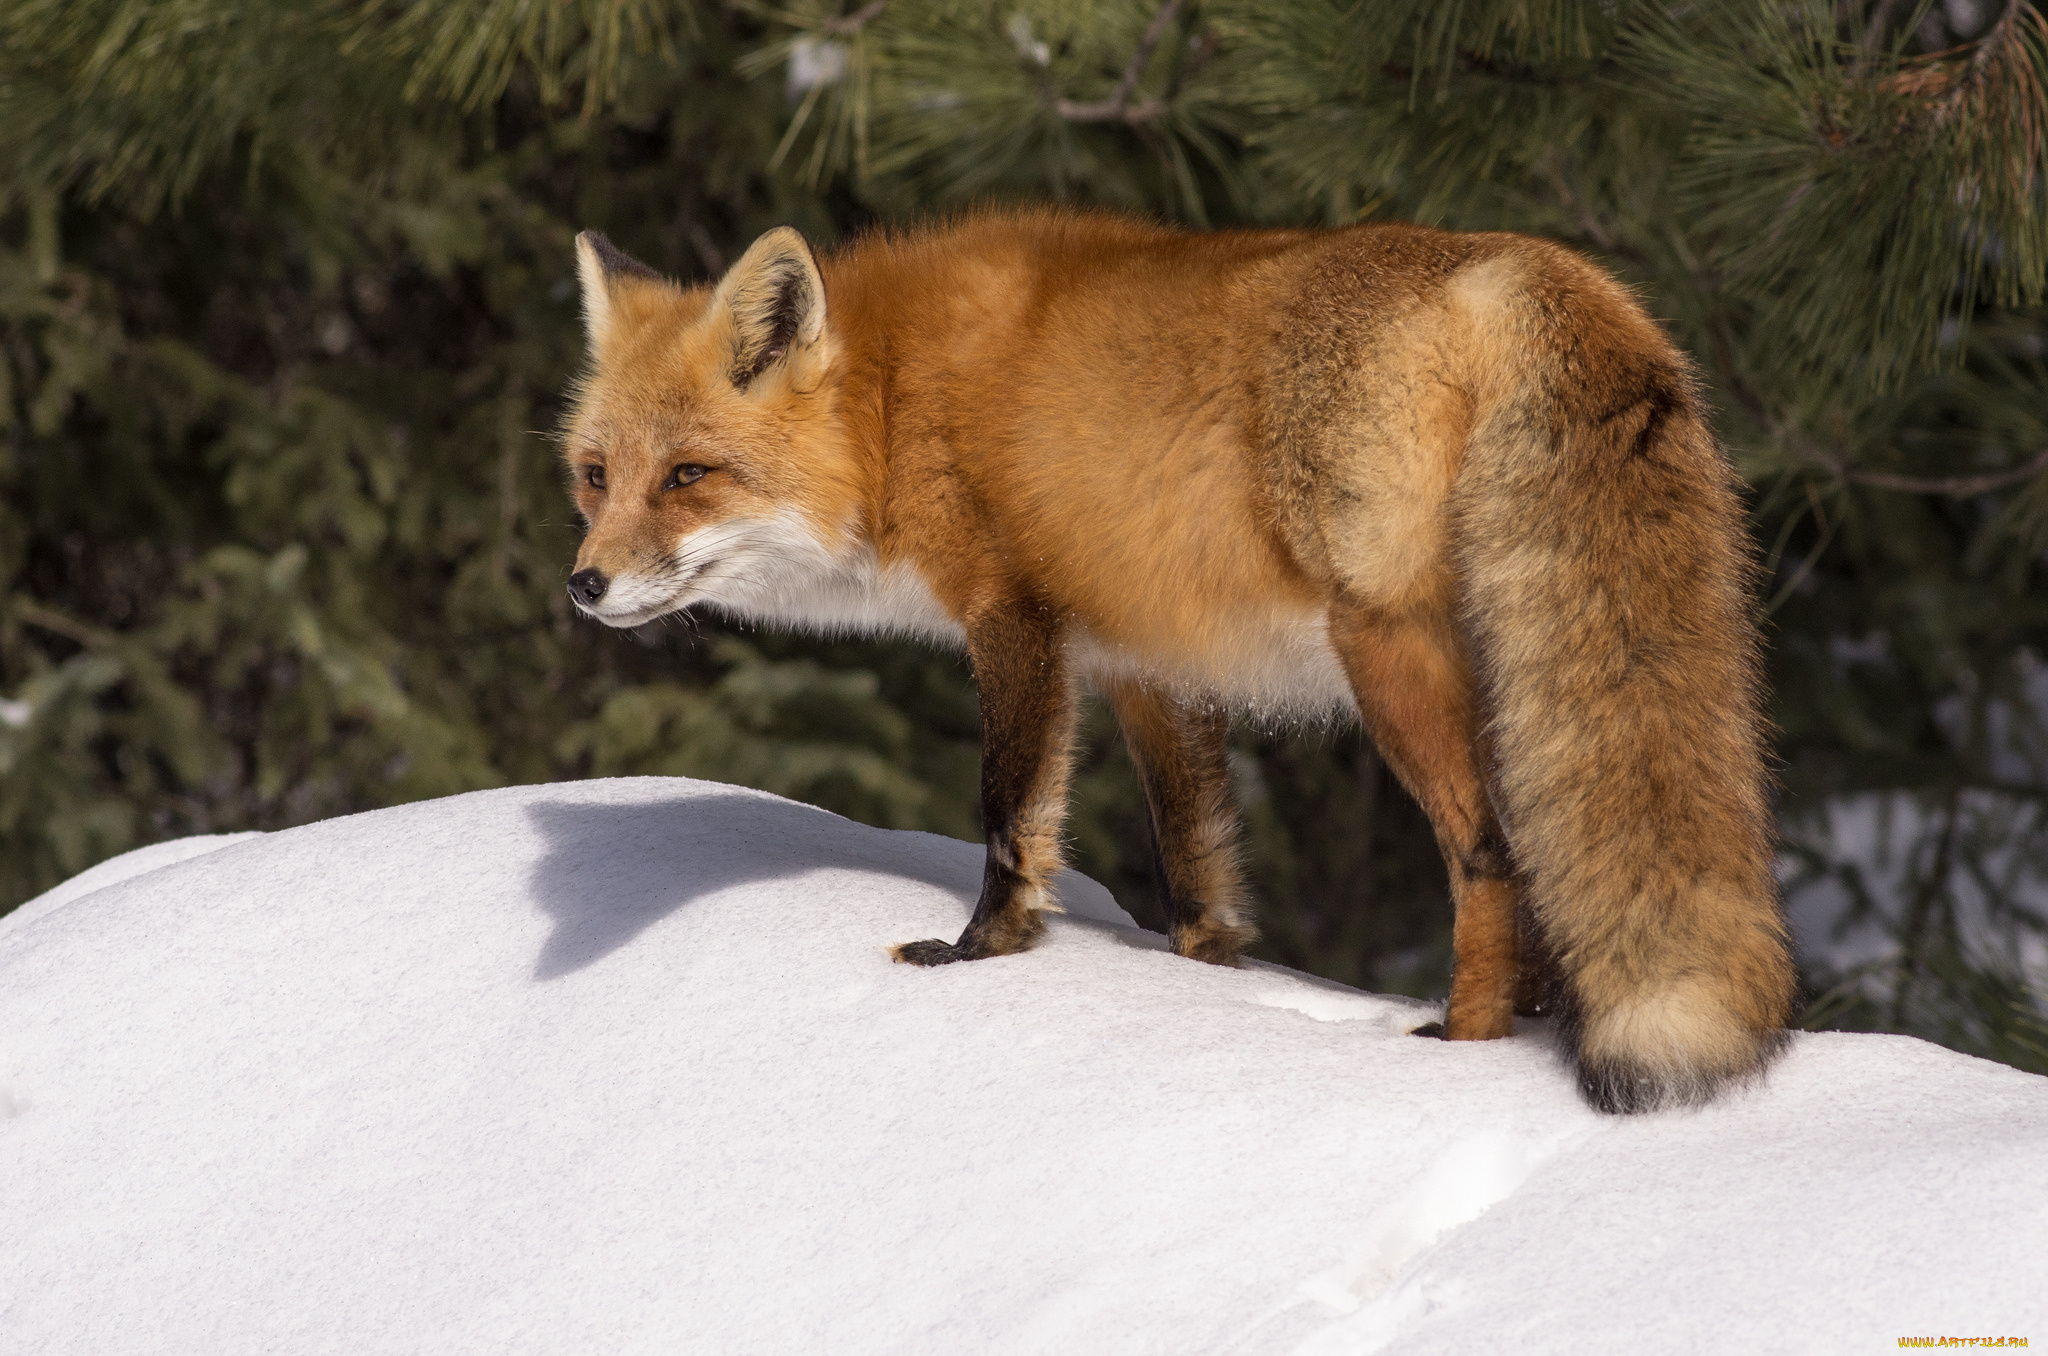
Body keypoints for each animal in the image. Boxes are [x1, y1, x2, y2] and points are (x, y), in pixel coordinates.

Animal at [557, 209, 1794, 1114]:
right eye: (594, 475)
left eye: (688, 476)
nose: (583, 584)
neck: (894, 403)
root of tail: (1524, 265)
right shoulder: (1146, 667)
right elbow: (1196, 870)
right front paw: (1202, 983)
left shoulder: (1014, 619)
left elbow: (1008, 819)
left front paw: (977, 956)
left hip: (1385, 652)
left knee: (1488, 853)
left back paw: (1461, 1046)